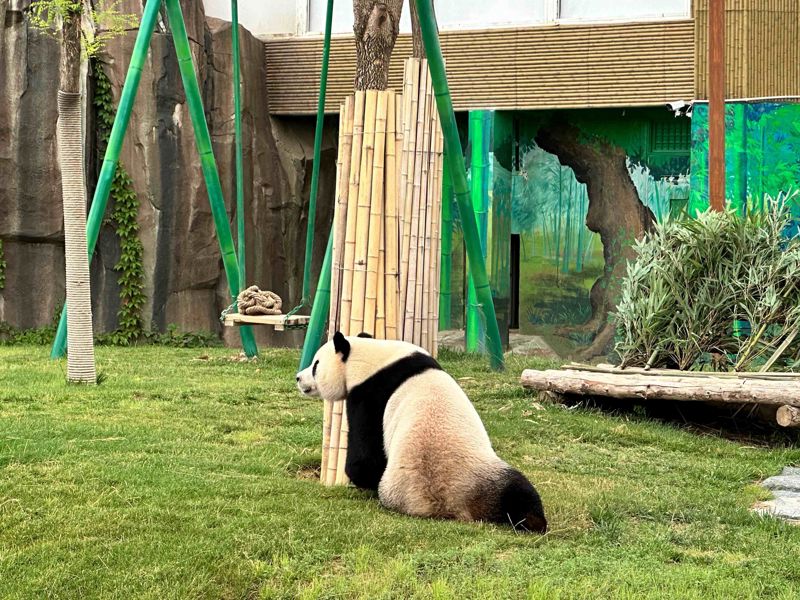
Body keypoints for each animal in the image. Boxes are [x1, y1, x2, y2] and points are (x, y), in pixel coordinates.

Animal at [296, 332, 548, 534]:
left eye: (315, 365)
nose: (298, 377)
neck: (372, 359)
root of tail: (445, 505)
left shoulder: (367, 396)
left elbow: (365, 459)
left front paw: (360, 478)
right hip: (486, 478)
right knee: (519, 493)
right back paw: (531, 522)